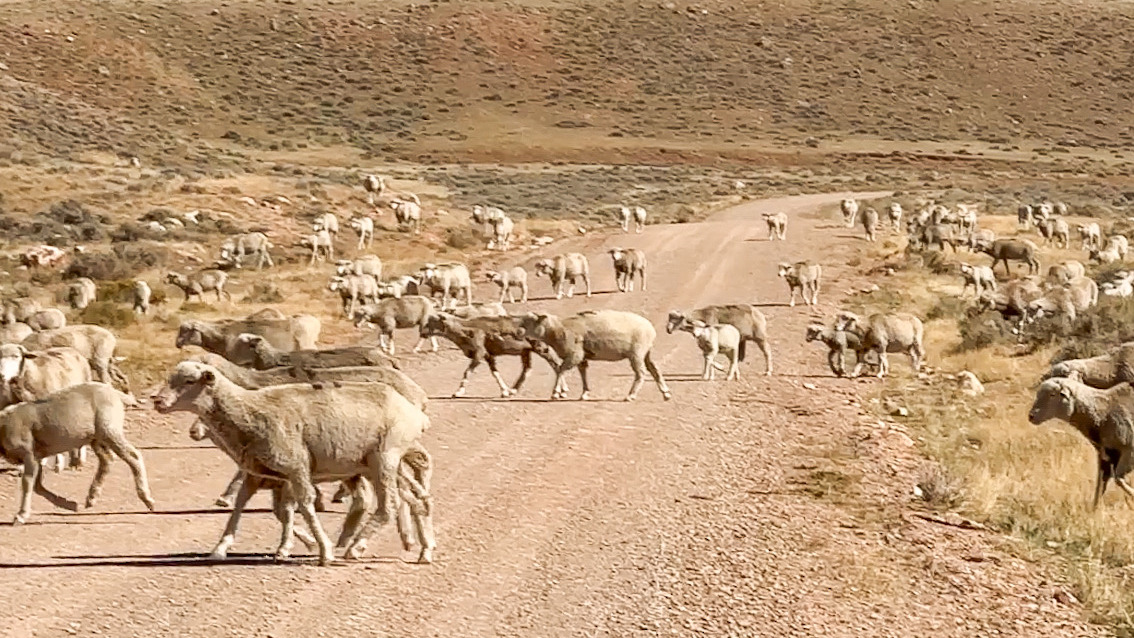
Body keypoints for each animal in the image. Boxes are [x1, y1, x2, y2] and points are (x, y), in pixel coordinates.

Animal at [0, 382, 155, 524]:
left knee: (133, 456)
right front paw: (67, 504)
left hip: (109, 429)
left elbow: (27, 483)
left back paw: (148, 500)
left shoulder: (29, 454)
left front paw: (21, 515)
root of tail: (114, 392)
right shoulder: (37, 456)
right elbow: (37, 486)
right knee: (107, 459)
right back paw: (91, 497)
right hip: (95, 437)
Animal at [153, 362, 434, 564]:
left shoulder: (296, 467)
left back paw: (356, 547)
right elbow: (244, 505)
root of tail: (416, 413)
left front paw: (322, 550)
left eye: (189, 381)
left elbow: (305, 506)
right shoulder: (260, 472)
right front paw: (220, 548)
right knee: (417, 499)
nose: (158, 401)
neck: (248, 411)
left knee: (390, 505)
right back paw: (424, 550)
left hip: (385, 457)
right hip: (377, 464)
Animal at [420, 314, 561, 398]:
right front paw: (504, 391)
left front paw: (458, 392)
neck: (464, 329)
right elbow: (495, 373)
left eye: (432, 322)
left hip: (540, 347)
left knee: (556, 365)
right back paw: (514, 390)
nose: (422, 333)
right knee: (527, 369)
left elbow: (467, 372)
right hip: (526, 350)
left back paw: (558, 392)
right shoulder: (488, 355)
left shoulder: (479, 353)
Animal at [518, 310, 671, 401]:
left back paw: (631, 395)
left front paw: (556, 392)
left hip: (637, 352)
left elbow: (560, 370)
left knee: (641, 373)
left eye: (529, 321)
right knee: (654, 369)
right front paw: (585, 393)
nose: (519, 332)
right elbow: (582, 372)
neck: (557, 329)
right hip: (647, 352)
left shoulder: (575, 354)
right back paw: (665, 393)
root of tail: (651, 328)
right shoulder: (582, 356)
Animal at [1028, 377, 1134, 509]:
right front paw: (1093, 510)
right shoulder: (1106, 455)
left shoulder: (1129, 451)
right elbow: (1100, 485)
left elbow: (1118, 479)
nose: (1031, 416)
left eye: (1052, 394)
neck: (1103, 413)